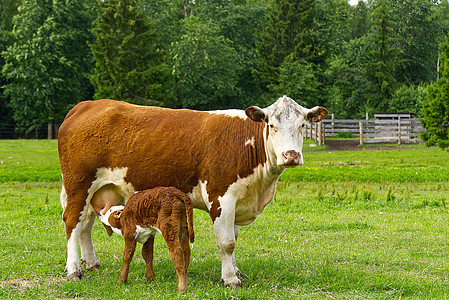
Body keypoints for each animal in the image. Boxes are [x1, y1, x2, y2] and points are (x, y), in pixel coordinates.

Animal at [58, 95, 326, 288]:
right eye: (272, 125)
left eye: (303, 125)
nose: (290, 155)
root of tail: (88, 104)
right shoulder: (221, 196)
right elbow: (227, 242)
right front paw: (231, 279)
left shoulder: (239, 198)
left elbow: (234, 237)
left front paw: (234, 270)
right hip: (79, 184)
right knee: (72, 221)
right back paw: (74, 269)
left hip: (102, 188)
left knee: (86, 223)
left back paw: (91, 262)